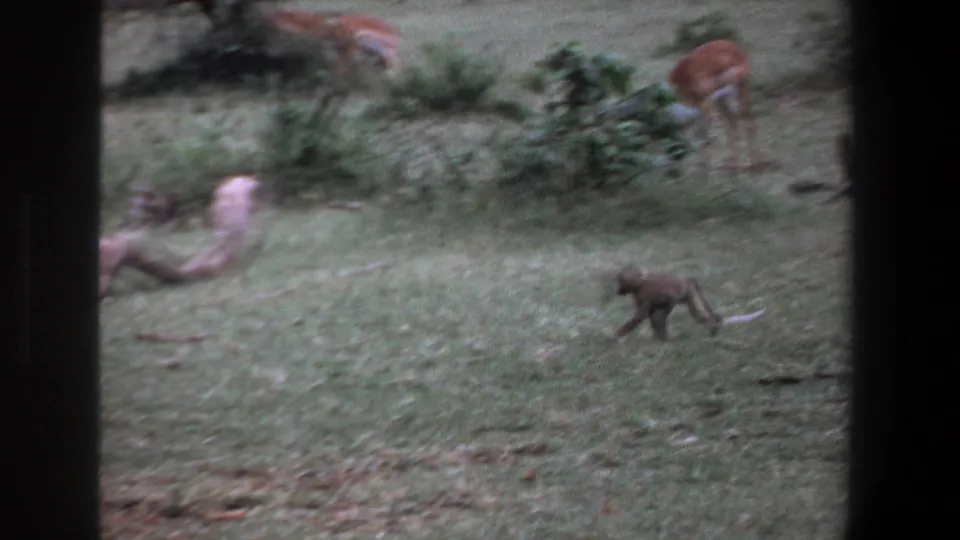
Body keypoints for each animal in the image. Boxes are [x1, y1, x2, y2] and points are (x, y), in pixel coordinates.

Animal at [612, 265, 765, 341]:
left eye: (620, 284)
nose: (617, 291)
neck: (638, 285)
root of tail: (687, 279)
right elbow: (652, 316)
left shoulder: (662, 297)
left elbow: (647, 316)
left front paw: (619, 334)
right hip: (690, 299)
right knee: (703, 316)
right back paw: (713, 329)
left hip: (685, 296)